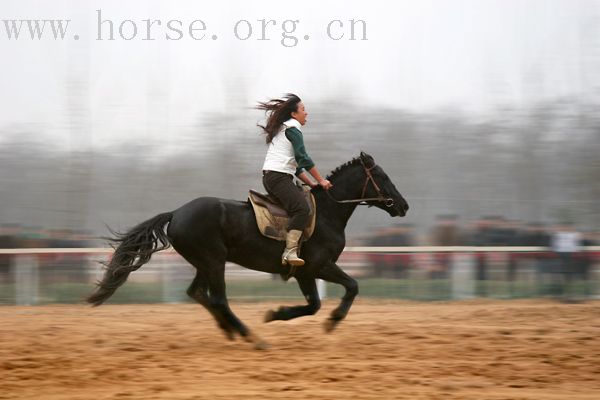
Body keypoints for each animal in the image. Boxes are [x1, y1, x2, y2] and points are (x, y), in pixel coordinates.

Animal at [86, 152, 408, 348]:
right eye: (383, 176)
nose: (403, 205)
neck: (328, 212)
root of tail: (176, 213)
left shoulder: (305, 272)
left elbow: (313, 305)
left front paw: (276, 313)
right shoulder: (318, 266)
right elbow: (350, 287)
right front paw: (332, 320)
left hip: (205, 263)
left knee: (197, 293)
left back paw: (230, 329)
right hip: (214, 262)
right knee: (218, 299)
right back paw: (251, 337)